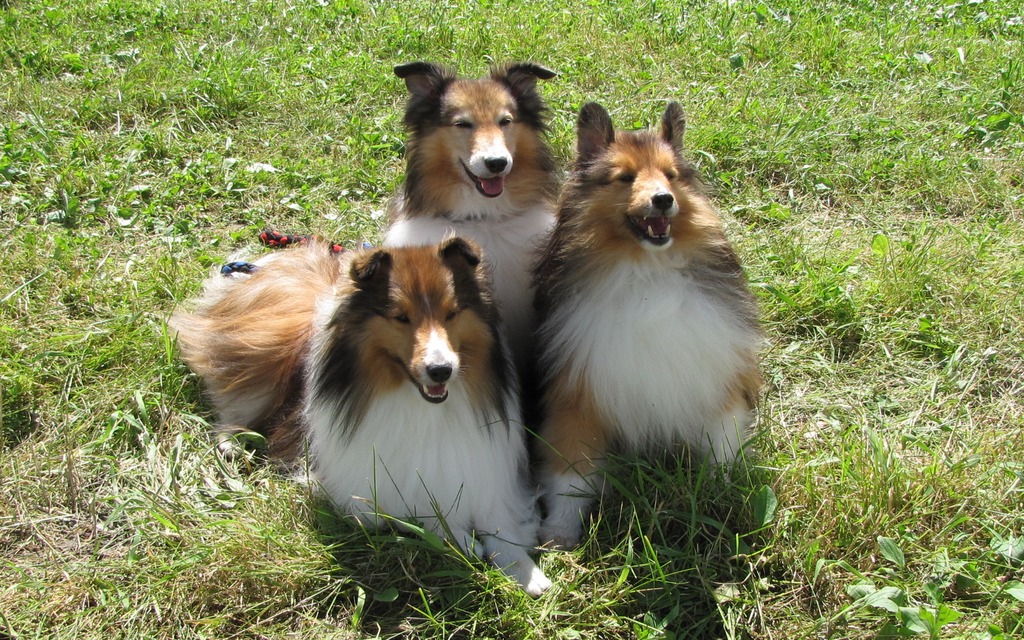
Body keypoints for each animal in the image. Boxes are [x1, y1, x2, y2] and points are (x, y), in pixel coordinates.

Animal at [168, 238, 552, 593]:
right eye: (401, 317)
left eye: (451, 313)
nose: (441, 370)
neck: (421, 408)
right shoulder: (357, 490)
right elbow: (416, 508)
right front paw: (457, 536)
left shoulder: (491, 478)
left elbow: (502, 528)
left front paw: (526, 572)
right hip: (262, 360)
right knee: (230, 403)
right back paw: (231, 442)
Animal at [532, 102, 765, 544]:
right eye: (625, 177)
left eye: (671, 175)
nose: (663, 199)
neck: (646, 270)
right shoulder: (576, 399)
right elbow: (571, 474)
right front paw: (560, 531)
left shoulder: (715, 382)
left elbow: (721, 448)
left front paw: (720, 495)